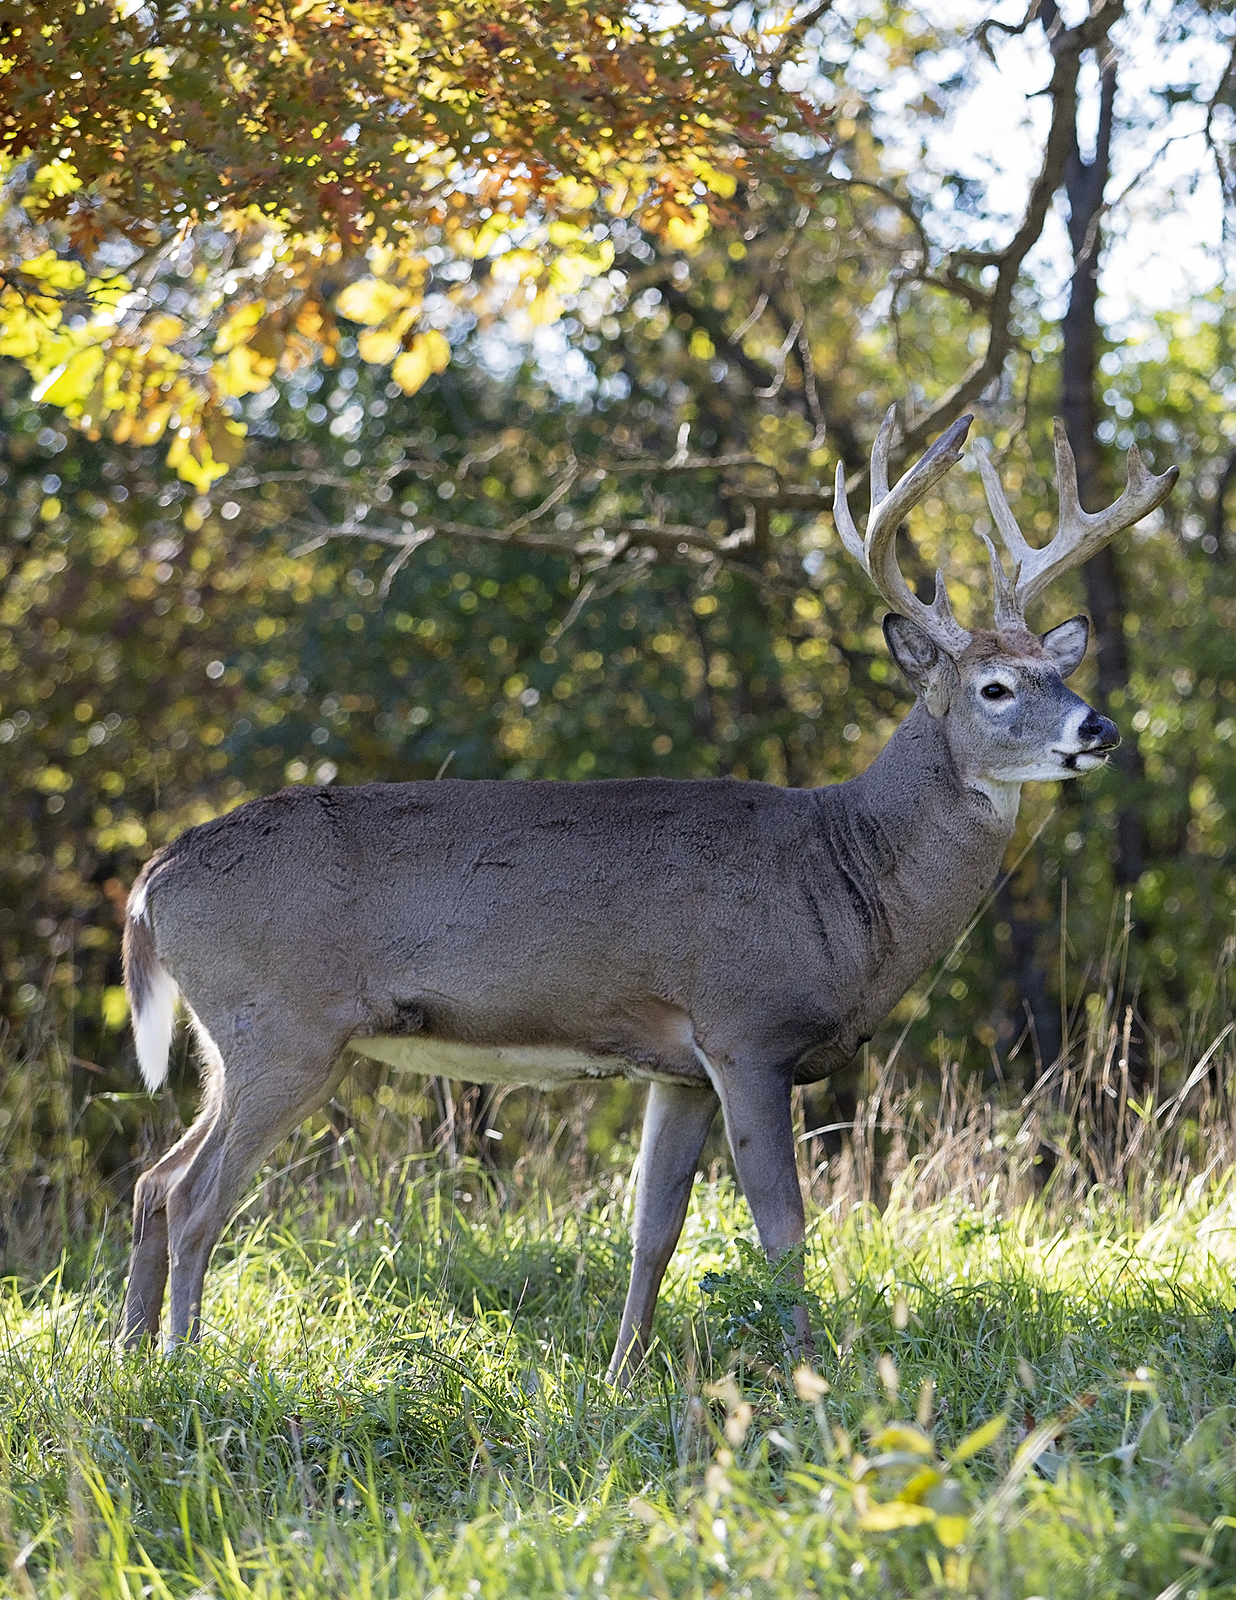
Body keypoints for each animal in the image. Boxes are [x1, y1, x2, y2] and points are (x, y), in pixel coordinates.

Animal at [118, 416, 1178, 1388]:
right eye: (996, 687)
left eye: (1062, 670)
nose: (1101, 728)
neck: (846, 877)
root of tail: (153, 877)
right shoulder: (748, 1028)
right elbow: (784, 1224)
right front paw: (812, 1377)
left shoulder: (678, 1065)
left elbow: (652, 1226)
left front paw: (623, 1374)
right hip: (284, 1026)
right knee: (198, 1195)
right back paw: (183, 1364)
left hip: (237, 1039)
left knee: (153, 1179)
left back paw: (126, 1360)